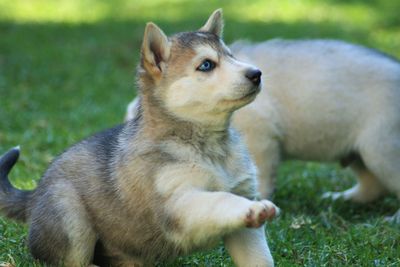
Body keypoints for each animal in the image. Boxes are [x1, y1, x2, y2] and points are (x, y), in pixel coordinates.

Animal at [0, 8, 280, 267]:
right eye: (207, 65)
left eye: (232, 56)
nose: (257, 73)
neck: (209, 147)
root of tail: (34, 194)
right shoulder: (178, 203)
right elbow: (220, 199)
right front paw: (255, 208)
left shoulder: (244, 216)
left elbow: (259, 257)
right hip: (69, 215)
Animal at [126, 25, 400, 223]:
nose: (256, 75)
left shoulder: (261, 140)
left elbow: (261, 178)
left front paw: (259, 205)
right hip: (361, 152)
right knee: (373, 186)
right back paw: (342, 199)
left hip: (381, 149)